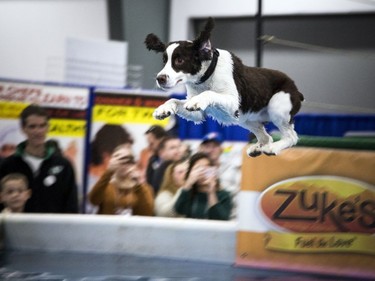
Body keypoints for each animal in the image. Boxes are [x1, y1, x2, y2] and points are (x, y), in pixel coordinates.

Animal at [145, 17, 304, 156]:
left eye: (179, 60)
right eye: (164, 60)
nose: (160, 79)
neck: (207, 75)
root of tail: (296, 89)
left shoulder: (234, 104)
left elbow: (209, 93)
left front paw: (198, 100)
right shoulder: (199, 114)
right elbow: (175, 100)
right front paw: (163, 109)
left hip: (278, 106)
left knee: (291, 137)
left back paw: (272, 148)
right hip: (248, 119)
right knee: (267, 137)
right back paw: (257, 148)